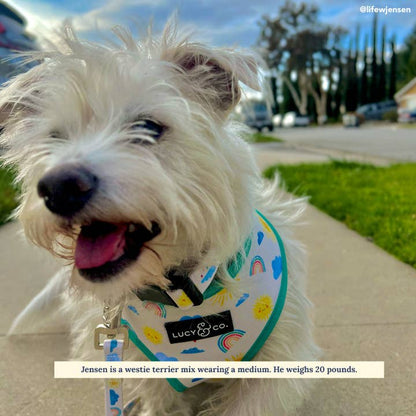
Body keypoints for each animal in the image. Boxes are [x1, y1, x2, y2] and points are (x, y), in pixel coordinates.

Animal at [0, 19, 318, 416]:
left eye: (149, 127)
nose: (58, 187)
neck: (187, 292)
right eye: (55, 137)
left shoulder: (269, 376)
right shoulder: (147, 372)